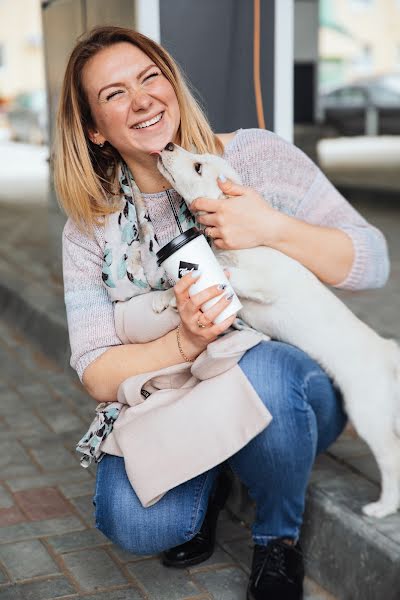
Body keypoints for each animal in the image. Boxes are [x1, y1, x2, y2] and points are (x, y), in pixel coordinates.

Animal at [153, 143, 400, 516]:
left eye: (198, 166)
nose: (168, 145)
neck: (238, 249)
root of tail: (386, 350)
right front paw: (165, 299)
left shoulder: (265, 282)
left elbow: (230, 277)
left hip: (367, 412)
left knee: (391, 458)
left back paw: (382, 508)